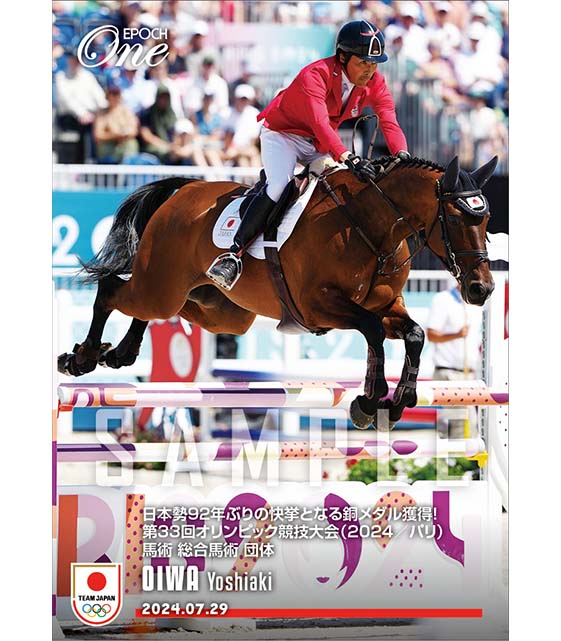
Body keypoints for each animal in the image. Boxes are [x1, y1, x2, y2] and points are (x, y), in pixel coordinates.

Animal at [57, 154, 498, 429]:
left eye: (487, 218)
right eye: (457, 218)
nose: (482, 289)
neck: (371, 224)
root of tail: (183, 191)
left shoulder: (388, 304)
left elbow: (415, 334)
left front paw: (400, 400)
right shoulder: (321, 306)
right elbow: (373, 332)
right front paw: (369, 401)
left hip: (219, 309)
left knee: (161, 310)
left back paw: (121, 352)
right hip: (163, 284)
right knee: (113, 291)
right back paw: (81, 357)